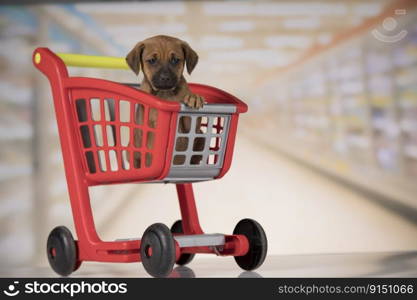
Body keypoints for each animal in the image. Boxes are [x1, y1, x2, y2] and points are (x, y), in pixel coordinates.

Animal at [127, 35, 205, 166]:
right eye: (152, 60)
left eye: (175, 60)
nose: (165, 78)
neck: (165, 93)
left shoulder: (189, 129)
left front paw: (194, 97)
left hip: (201, 138)